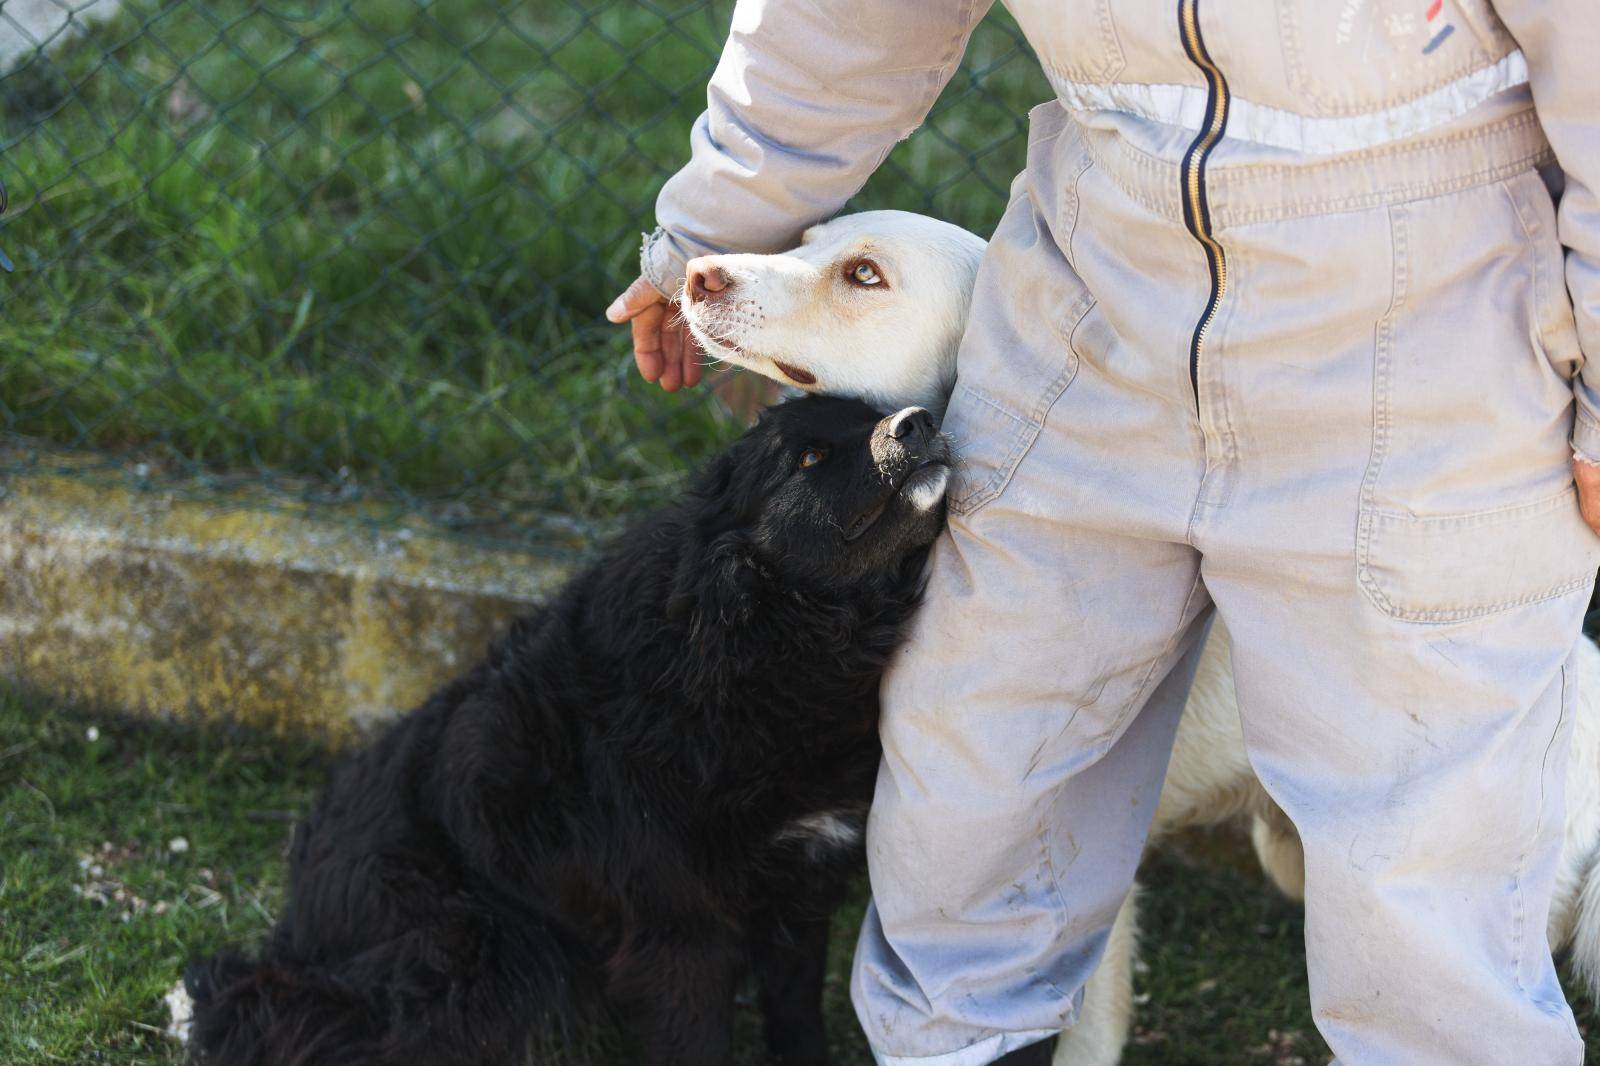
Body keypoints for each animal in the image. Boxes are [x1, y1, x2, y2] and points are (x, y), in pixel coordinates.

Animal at [184, 393, 947, 1056]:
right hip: (486, 956)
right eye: (810, 457)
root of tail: (296, 927)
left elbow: (795, 1013)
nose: (920, 421)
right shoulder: (680, 931)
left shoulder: (800, 892)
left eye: (873, 410)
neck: (751, 641)